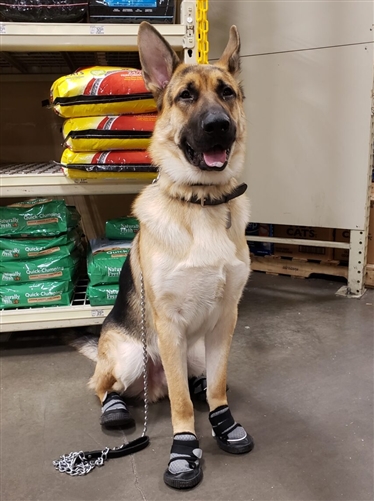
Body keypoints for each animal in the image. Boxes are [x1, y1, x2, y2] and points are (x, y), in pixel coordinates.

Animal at [81, 22, 254, 488]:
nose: (219, 126)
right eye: (186, 96)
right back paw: (116, 409)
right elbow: (180, 405)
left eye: (227, 93)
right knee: (105, 386)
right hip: (130, 356)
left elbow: (218, 385)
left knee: (193, 379)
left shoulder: (226, 319)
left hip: (195, 349)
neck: (201, 202)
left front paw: (223, 423)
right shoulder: (170, 325)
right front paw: (185, 450)